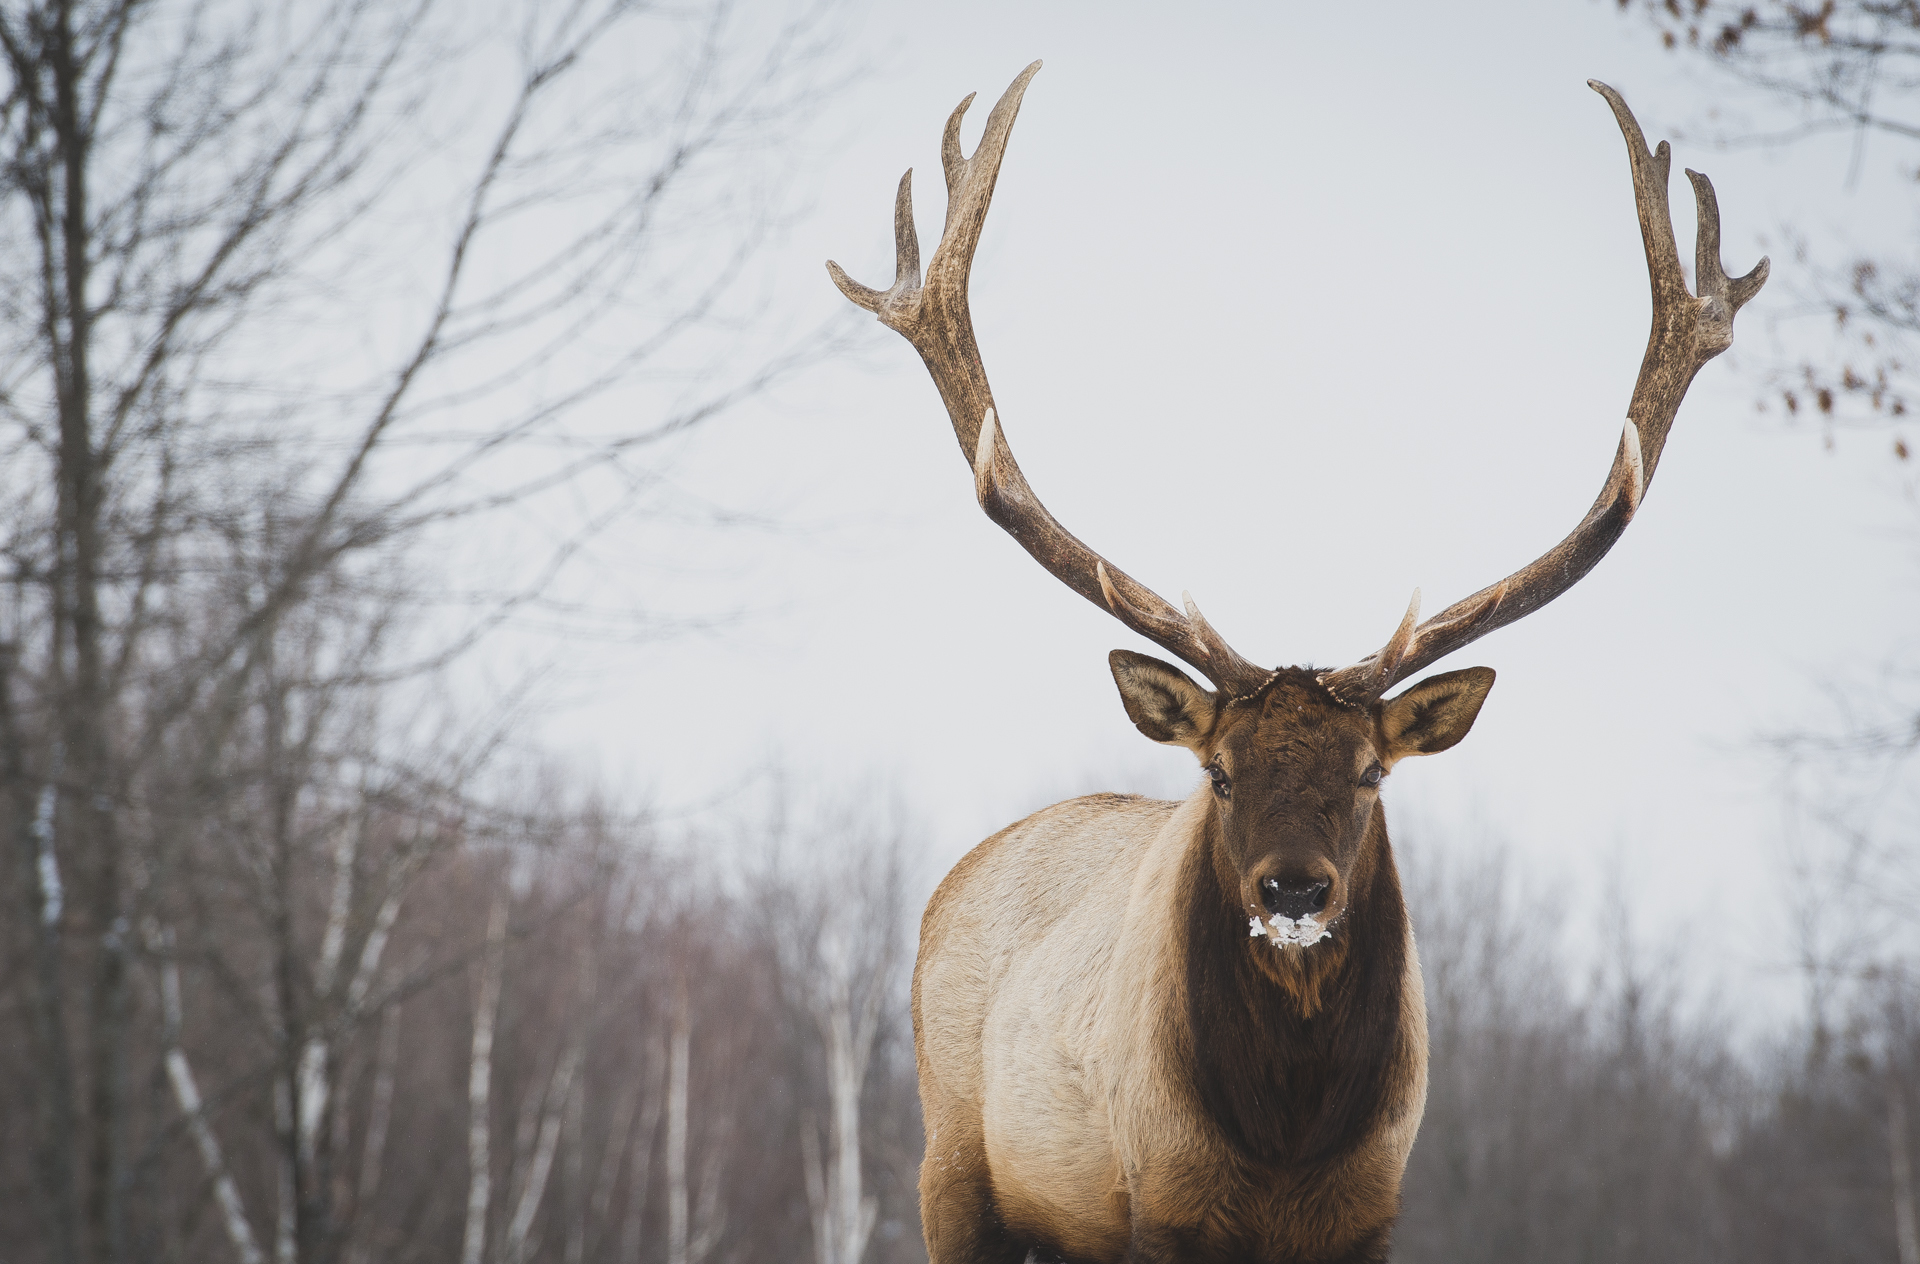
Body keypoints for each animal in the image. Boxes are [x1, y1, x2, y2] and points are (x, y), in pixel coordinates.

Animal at [825, 63, 1766, 1260]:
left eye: (1369, 773)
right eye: (1220, 773)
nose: (1293, 887)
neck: (1284, 1145)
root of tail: (957, 880)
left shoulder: (1370, 1208)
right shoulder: (1157, 1201)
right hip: (953, 1165)